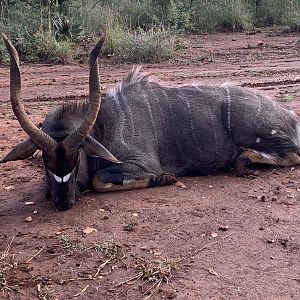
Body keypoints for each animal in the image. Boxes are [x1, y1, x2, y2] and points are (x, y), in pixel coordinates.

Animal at [1, 34, 300, 210]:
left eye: (78, 156)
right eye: (43, 160)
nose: (64, 202)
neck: (104, 124)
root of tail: (292, 117)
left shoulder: (140, 163)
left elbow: (99, 179)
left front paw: (164, 178)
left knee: (291, 153)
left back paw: (242, 162)